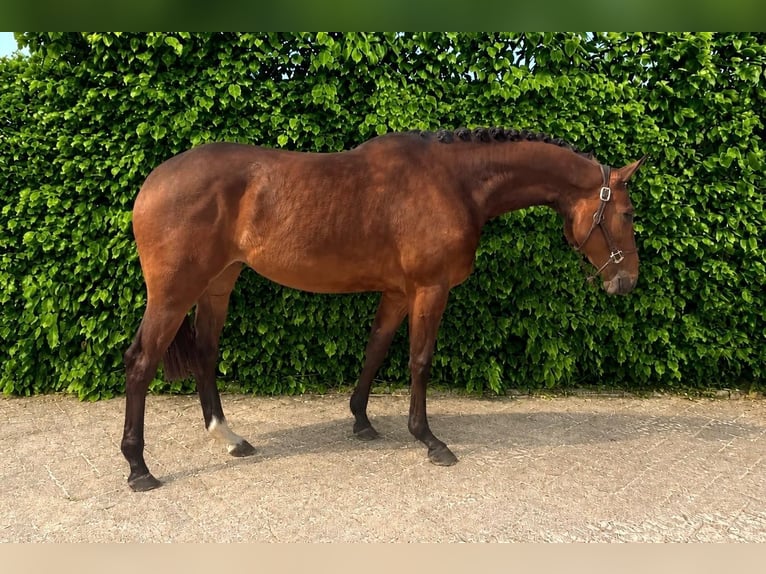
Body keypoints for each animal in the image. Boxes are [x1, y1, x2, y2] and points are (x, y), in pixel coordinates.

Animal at [121, 127, 646, 491]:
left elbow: (375, 351)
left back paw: (230, 439)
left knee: (206, 355)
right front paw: (430, 440)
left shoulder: (397, 293)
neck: (454, 182)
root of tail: (152, 183)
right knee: (141, 363)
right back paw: (139, 468)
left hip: (217, 284)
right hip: (173, 293)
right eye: (626, 213)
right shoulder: (430, 289)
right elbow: (419, 360)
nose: (626, 282)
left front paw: (362, 421)